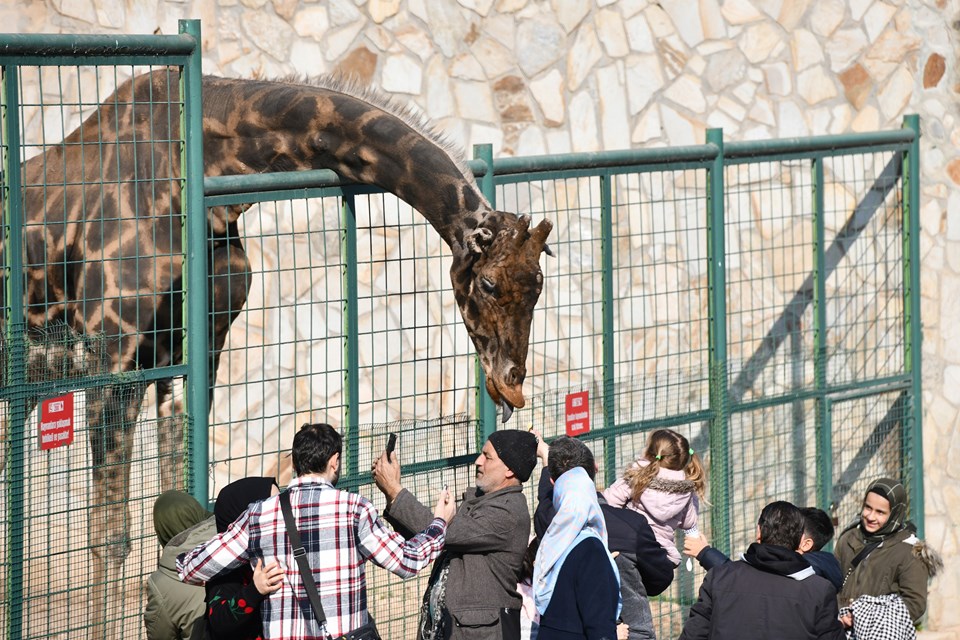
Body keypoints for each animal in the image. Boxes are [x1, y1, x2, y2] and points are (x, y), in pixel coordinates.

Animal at [0, 71, 552, 636]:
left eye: (539, 286)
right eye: (487, 283)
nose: (511, 385)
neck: (203, 171)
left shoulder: (190, 352)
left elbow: (177, 498)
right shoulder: (112, 354)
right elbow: (110, 535)